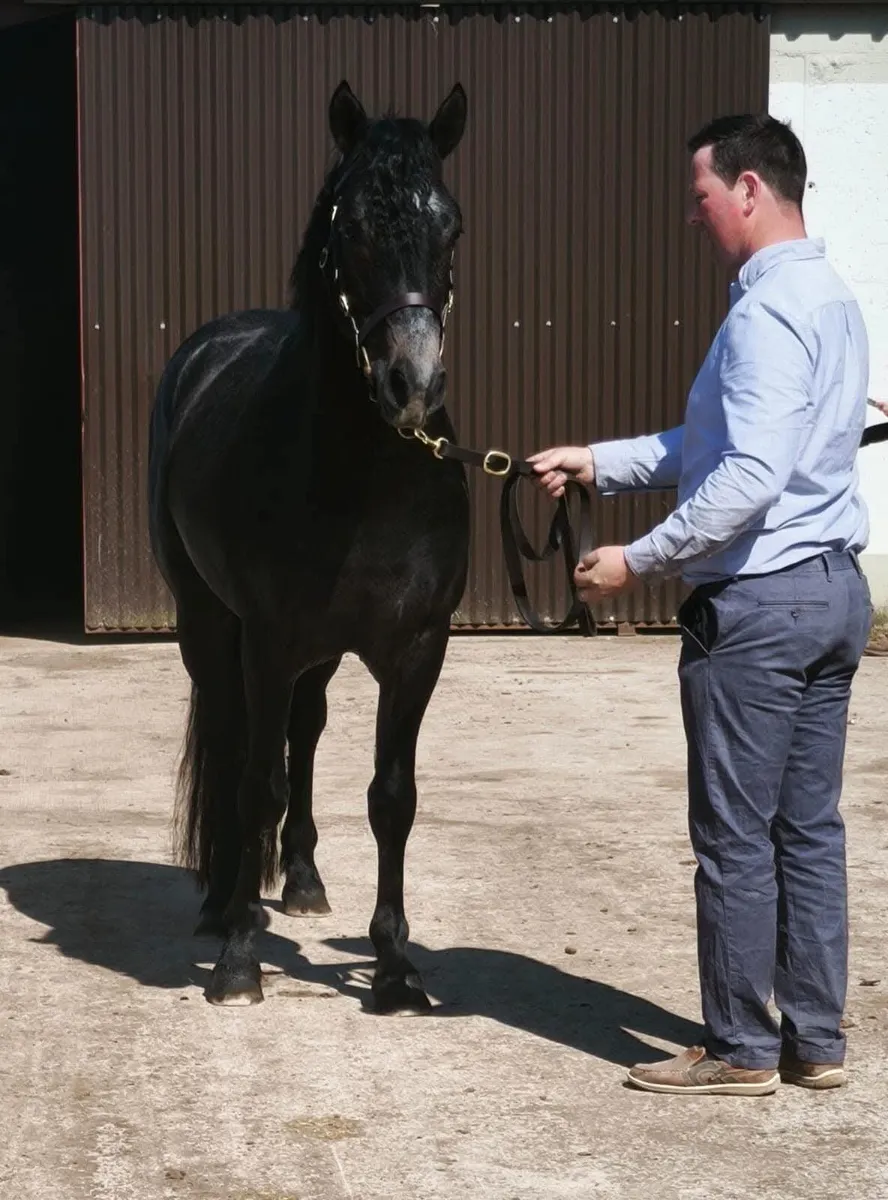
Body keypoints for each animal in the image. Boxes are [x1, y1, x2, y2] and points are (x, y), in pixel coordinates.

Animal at [148, 81, 470, 1011]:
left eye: (451, 226)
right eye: (350, 226)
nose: (411, 385)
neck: (371, 477)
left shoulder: (417, 647)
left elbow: (392, 798)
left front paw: (394, 964)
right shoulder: (267, 640)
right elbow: (254, 784)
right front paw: (238, 961)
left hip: (319, 654)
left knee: (308, 728)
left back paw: (297, 879)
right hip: (207, 624)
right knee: (235, 739)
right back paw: (225, 901)